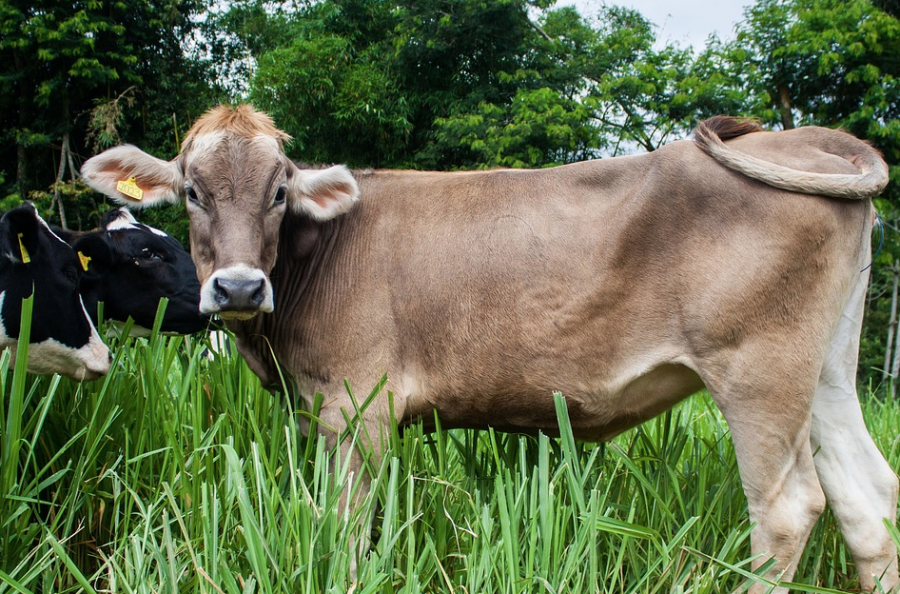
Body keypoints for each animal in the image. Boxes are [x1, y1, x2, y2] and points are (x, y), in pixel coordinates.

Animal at [82, 107, 892, 592]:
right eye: (191, 191)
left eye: (279, 192)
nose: (241, 287)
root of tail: (803, 136)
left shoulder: (356, 406)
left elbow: (344, 528)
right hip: (825, 370)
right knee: (868, 496)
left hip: (757, 366)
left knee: (787, 506)